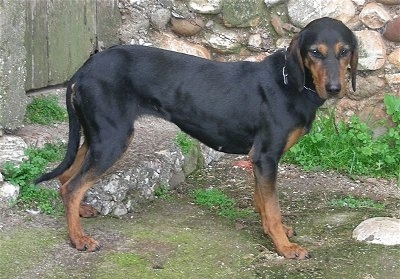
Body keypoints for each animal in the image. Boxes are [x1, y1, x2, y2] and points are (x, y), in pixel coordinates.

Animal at [36, 17, 358, 260]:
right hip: (112, 139)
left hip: (98, 136)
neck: (289, 82)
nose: (334, 88)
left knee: (66, 179)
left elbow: (262, 203)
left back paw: (81, 213)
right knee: (72, 187)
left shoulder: (259, 160)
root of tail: (82, 70)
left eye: (344, 52)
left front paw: (272, 230)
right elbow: (273, 208)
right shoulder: (266, 156)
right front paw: (284, 246)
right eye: (315, 52)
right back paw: (78, 239)